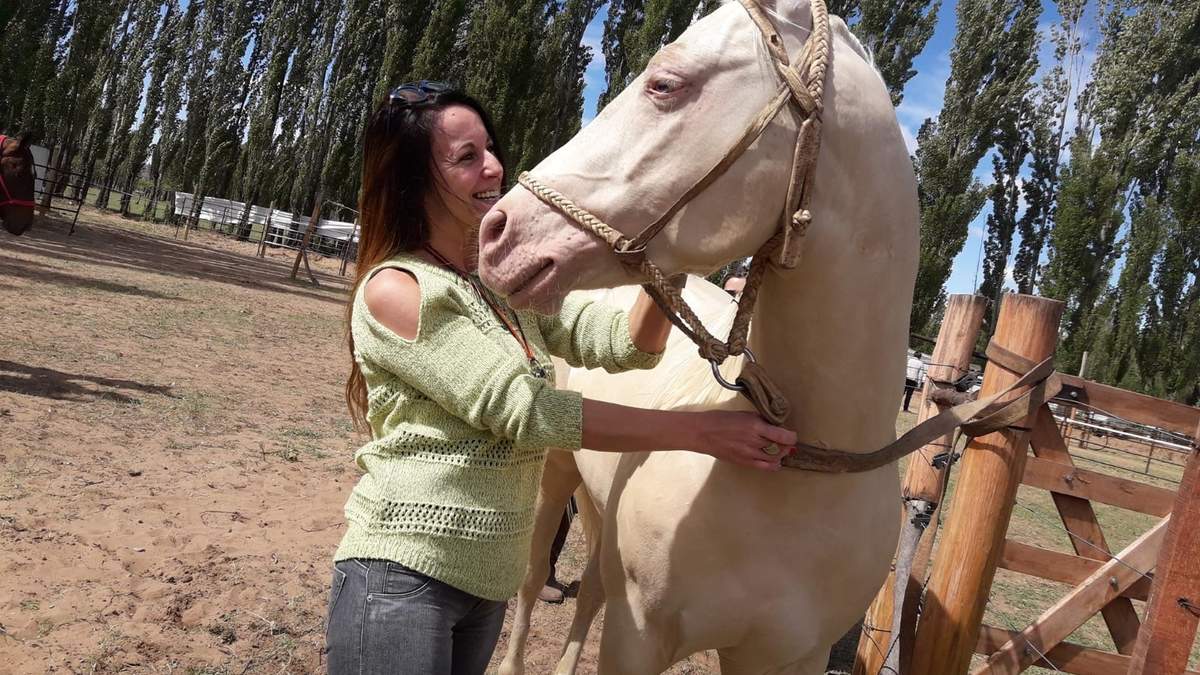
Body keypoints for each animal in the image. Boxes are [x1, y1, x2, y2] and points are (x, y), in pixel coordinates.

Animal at [477, 0, 919, 671]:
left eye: (666, 84)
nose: (498, 229)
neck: (797, 480)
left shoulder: (787, 657)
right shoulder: (637, 636)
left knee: (592, 589)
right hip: (556, 471)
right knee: (531, 580)